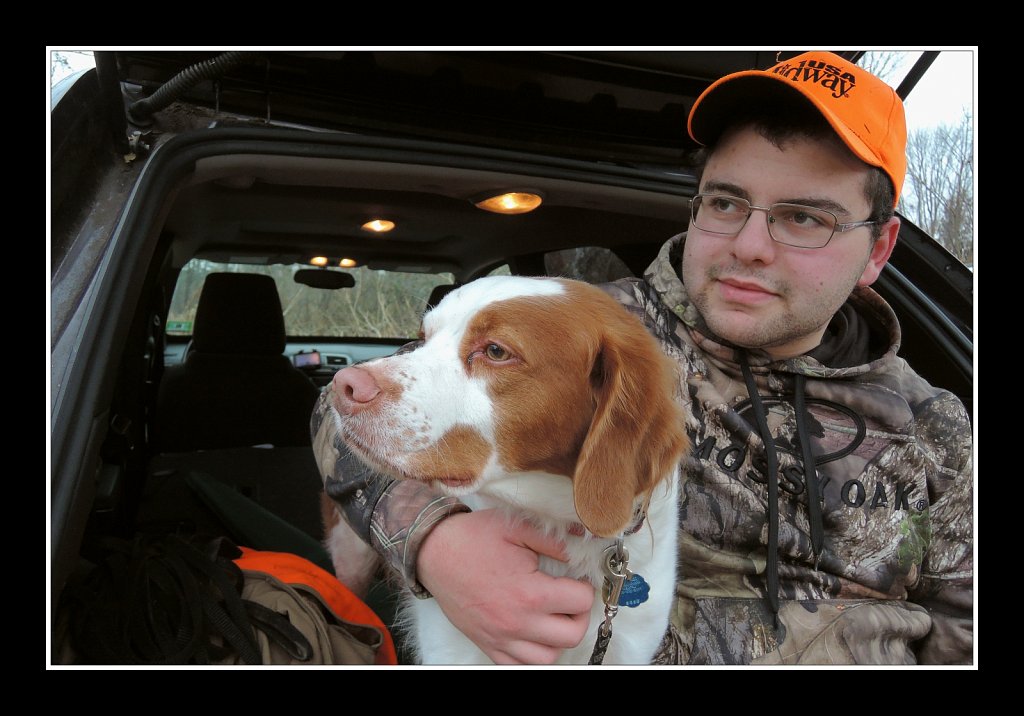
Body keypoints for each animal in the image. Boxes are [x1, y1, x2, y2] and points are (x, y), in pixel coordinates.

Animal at [319, 276, 688, 667]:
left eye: (496, 351)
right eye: (423, 337)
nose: (342, 385)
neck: (555, 524)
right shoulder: (452, 650)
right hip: (350, 557)